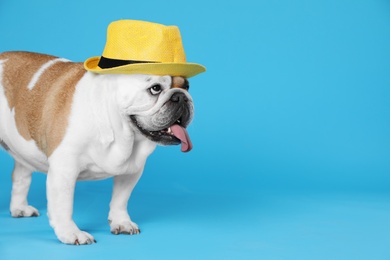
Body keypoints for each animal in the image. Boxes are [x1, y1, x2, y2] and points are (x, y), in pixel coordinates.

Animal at [0, 50, 197, 244]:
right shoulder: (64, 171)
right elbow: (63, 206)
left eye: (187, 86)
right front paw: (70, 233)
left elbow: (120, 199)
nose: (181, 96)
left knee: (21, 176)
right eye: (155, 88)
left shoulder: (131, 170)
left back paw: (19, 208)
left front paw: (121, 222)